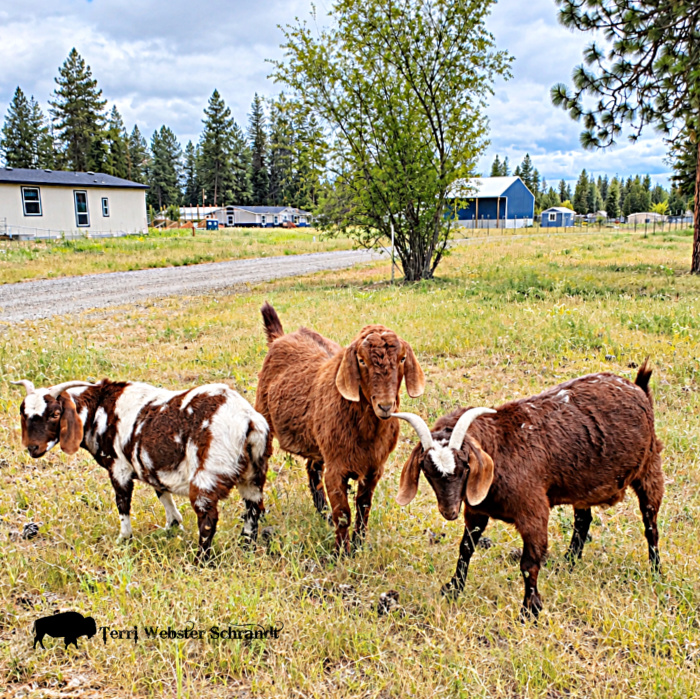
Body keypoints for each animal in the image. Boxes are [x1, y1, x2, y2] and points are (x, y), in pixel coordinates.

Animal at [13, 378, 270, 562]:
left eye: (55, 414)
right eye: (23, 413)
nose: (33, 448)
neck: (98, 410)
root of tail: (248, 421)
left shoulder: (119, 467)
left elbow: (122, 503)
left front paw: (124, 538)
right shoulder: (150, 466)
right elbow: (162, 493)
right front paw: (172, 525)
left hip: (207, 475)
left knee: (208, 518)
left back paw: (201, 561)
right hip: (253, 475)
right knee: (253, 508)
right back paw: (246, 545)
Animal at [255, 302, 425, 553]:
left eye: (402, 358)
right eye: (362, 361)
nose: (385, 406)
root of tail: (280, 338)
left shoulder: (374, 467)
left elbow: (364, 506)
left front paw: (359, 544)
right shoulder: (336, 468)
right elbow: (344, 512)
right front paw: (340, 553)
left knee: (312, 469)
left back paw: (323, 514)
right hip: (263, 419)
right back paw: (260, 514)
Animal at [393, 362, 664, 617]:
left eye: (464, 466)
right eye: (427, 470)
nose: (449, 511)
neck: (500, 450)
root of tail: (638, 388)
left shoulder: (533, 510)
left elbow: (529, 563)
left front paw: (529, 610)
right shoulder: (476, 509)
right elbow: (466, 548)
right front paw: (453, 588)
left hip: (650, 467)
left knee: (650, 524)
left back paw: (656, 571)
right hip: (583, 485)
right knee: (583, 519)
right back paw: (568, 563)